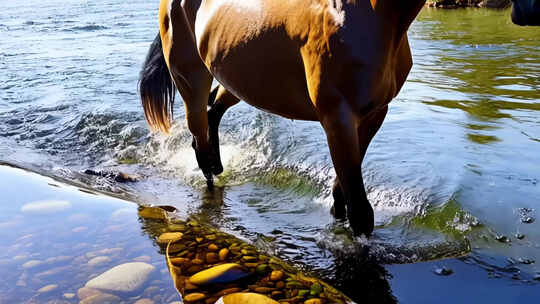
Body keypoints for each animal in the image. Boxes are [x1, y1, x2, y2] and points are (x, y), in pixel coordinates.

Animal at [140, 0, 540, 236]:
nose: (528, 11)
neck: (374, 16)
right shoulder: (338, 118)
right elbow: (360, 208)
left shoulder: (373, 114)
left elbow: (344, 186)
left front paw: (336, 212)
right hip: (190, 78)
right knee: (198, 130)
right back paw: (210, 172)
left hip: (235, 80)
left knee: (213, 112)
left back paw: (220, 165)